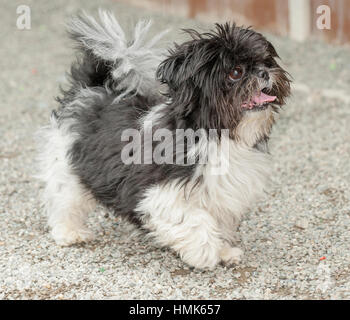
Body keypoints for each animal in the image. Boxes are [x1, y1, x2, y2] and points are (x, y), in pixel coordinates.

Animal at [37, 10, 290, 270]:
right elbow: (196, 220)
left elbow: (217, 221)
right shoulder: (158, 195)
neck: (216, 135)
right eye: (236, 72)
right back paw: (69, 232)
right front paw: (205, 253)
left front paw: (224, 250)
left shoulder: (222, 194)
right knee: (64, 200)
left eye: (267, 62)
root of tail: (92, 89)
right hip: (68, 165)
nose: (264, 73)